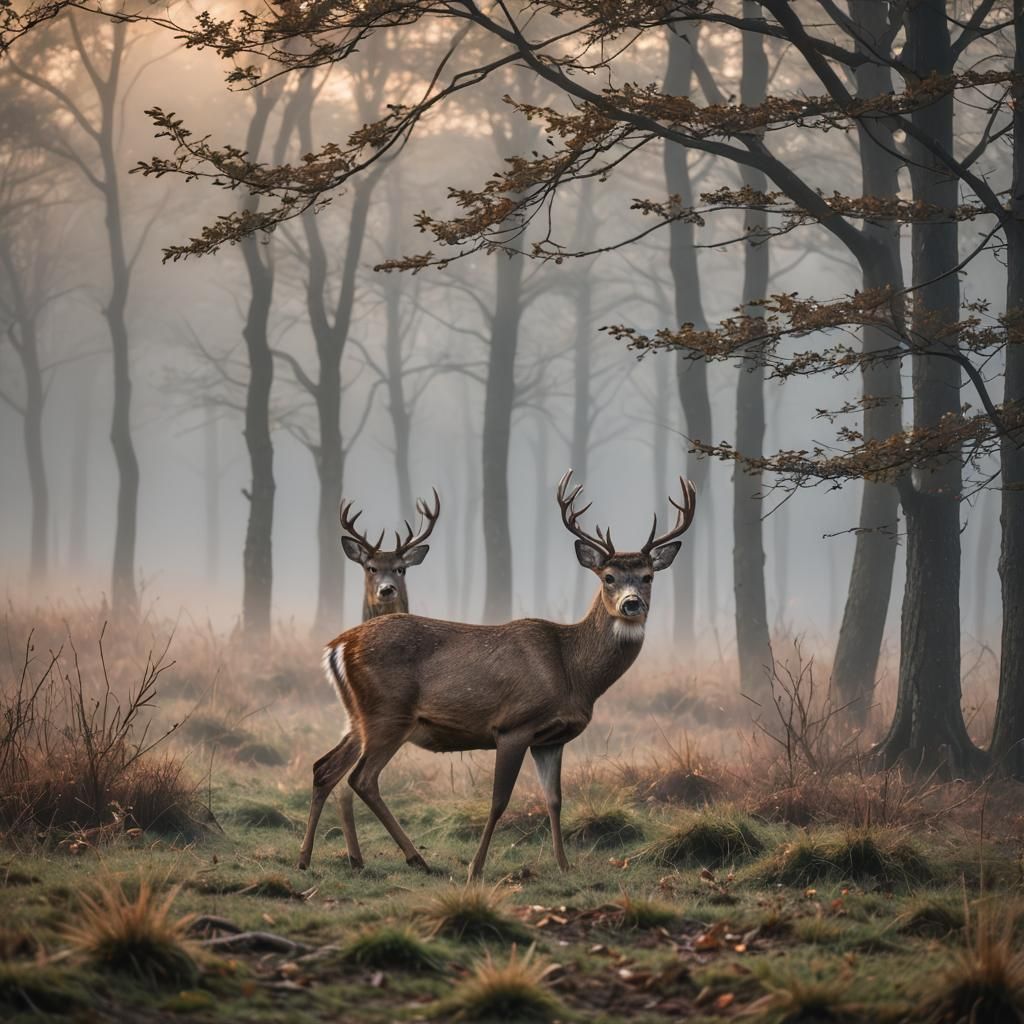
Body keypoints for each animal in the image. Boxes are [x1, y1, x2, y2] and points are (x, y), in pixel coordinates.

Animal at [297, 471, 695, 878]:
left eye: (648, 576)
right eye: (609, 577)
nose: (632, 604)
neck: (573, 673)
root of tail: (338, 644)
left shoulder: (551, 739)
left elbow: (554, 799)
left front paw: (564, 865)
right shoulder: (513, 724)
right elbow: (499, 801)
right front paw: (476, 868)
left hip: (359, 717)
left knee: (325, 767)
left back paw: (307, 858)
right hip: (388, 714)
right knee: (361, 778)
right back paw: (414, 857)